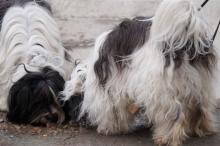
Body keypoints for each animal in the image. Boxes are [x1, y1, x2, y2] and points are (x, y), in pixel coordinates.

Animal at [62, 0, 217, 146]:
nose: (74, 121)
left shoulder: (111, 90)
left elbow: (113, 111)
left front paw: (109, 128)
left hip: (162, 88)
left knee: (173, 114)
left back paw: (166, 138)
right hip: (200, 83)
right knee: (201, 107)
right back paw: (201, 129)